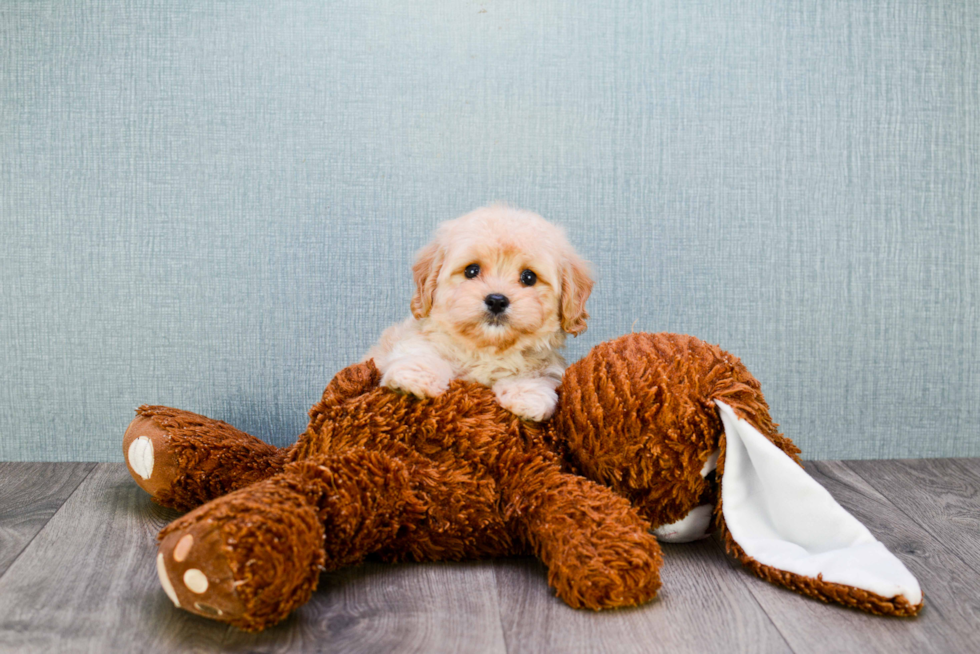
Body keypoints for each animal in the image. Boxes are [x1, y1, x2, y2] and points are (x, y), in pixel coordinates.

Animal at [364, 202, 592, 422]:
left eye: (529, 277)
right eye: (471, 270)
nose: (497, 301)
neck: (486, 351)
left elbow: (536, 375)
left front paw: (528, 396)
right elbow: (422, 352)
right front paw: (414, 378)